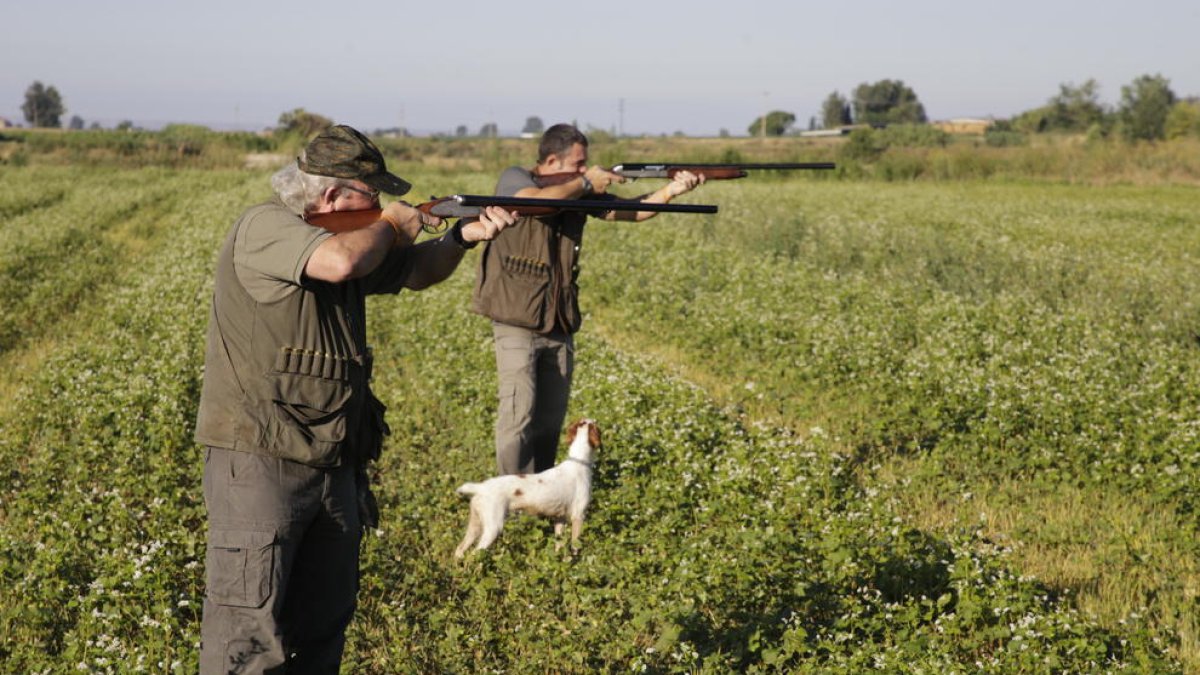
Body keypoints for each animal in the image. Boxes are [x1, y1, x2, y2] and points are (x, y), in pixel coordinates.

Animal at [451, 417, 600, 554]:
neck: (578, 462)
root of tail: (481, 487)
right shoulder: (578, 516)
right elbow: (575, 546)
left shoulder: (560, 518)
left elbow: (559, 545)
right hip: (493, 527)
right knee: (475, 554)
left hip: (475, 525)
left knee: (459, 550)